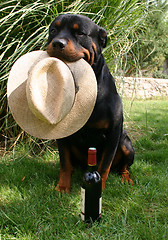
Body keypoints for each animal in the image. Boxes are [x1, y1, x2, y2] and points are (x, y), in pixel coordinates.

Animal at [46, 14, 135, 192]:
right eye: (53, 30)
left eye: (80, 33)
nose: (58, 43)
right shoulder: (62, 132)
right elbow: (64, 163)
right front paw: (63, 187)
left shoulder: (114, 133)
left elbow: (104, 166)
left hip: (126, 144)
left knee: (124, 167)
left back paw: (126, 178)